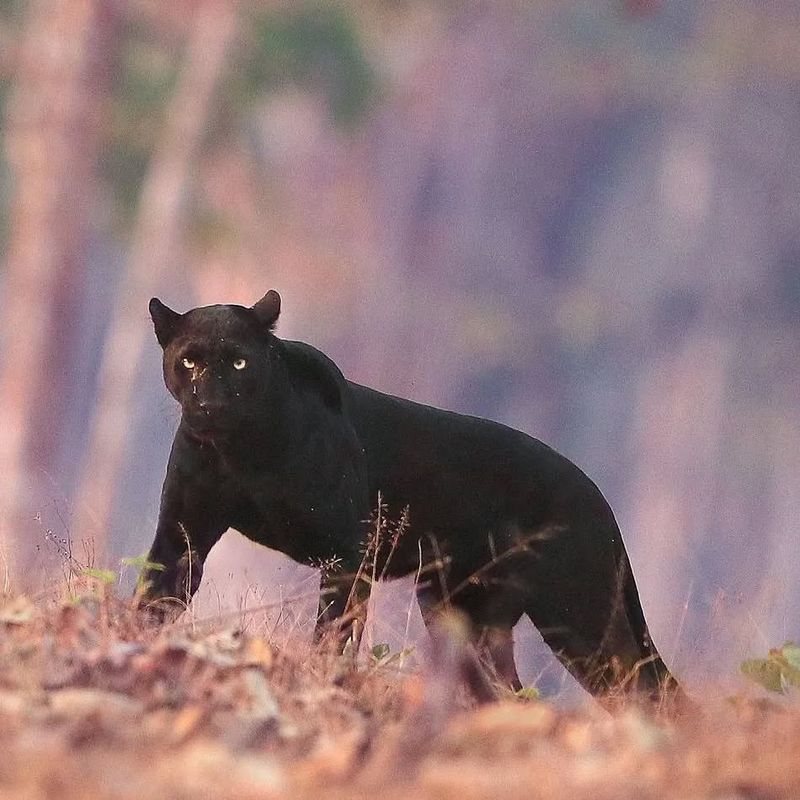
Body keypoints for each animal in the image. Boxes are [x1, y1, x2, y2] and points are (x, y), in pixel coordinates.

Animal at [141, 290, 684, 704]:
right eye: (188, 360)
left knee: (648, 689)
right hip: (461, 612)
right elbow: (154, 598)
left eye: (239, 361)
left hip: (578, 616)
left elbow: (334, 632)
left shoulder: (348, 553)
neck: (240, 453)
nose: (210, 403)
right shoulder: (183, 533)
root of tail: (597, 494)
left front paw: (324, 681)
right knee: (507, 687)